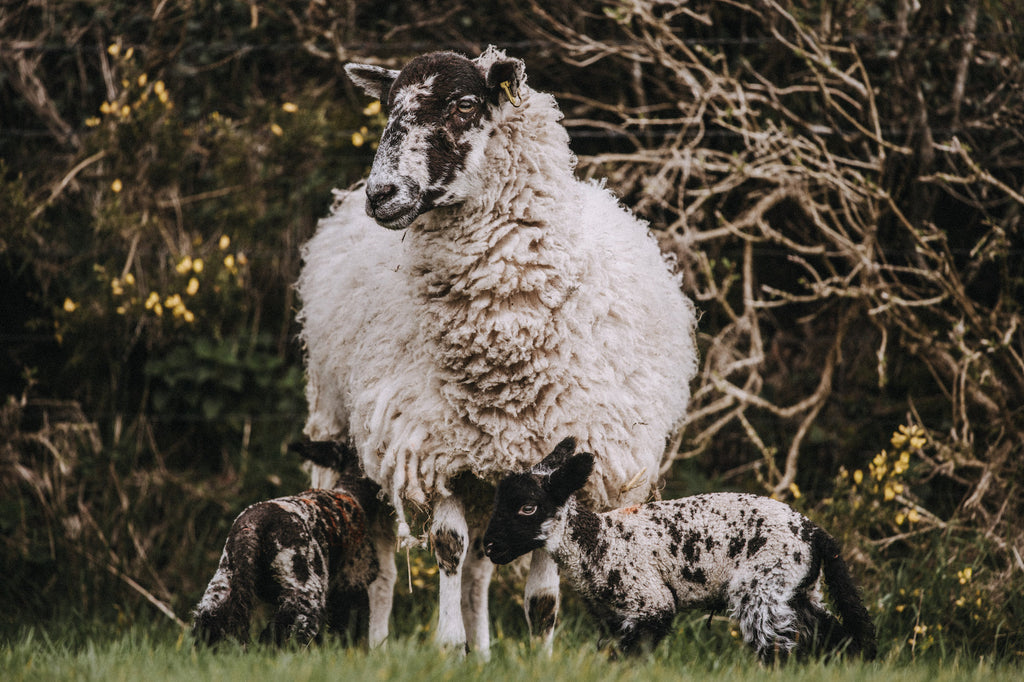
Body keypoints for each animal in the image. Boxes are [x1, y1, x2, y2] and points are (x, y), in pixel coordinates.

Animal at [190, 438, 393, 647]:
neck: (350, 492)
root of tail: (251, 527)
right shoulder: (353, 580)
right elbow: (348, 625)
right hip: (305, 591)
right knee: (283, 635)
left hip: (221, 585)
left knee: (210, 625)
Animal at [292, 45, 700, 651]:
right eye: (388, 105)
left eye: (465, 105)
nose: (381, 194)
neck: (501, 351)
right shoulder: (431, 448)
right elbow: (448, 550)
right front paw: (446, 647)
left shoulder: (561, 462)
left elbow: (541, 594)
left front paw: (538, 654)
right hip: (346, 436)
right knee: (386, 565)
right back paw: (382, 645)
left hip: (488, 478)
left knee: (481, 568)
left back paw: (483, 653)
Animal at [483, 436, 876, 659]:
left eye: (528, 507)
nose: (489, 547)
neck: (595, 541)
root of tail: (814, 533)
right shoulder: (611, 617)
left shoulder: (649, 602)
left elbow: (632, 656)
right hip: (797, 588)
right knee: (837, 636)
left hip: (762, 584)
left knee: (779, 648)